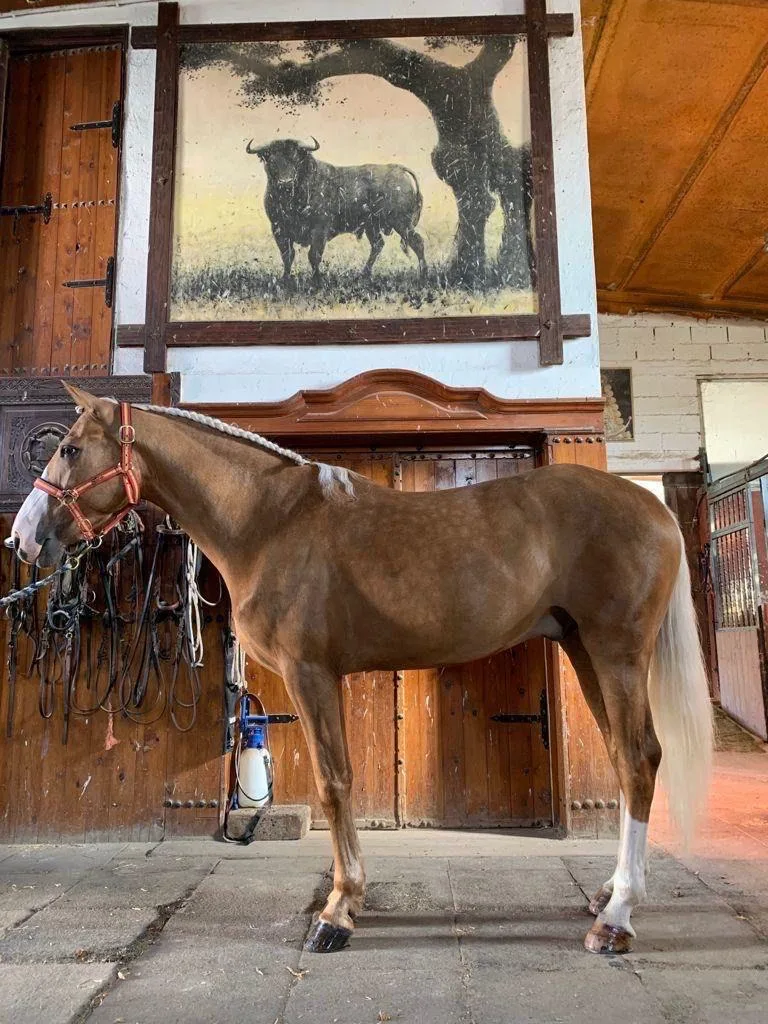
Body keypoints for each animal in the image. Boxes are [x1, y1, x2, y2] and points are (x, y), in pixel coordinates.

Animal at [10, 383, 713, 955]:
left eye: (70, 448)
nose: (22, 538)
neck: (269, 523)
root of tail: (653, 508)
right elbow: (337, 779)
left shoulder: (312, 674)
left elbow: (334, 782)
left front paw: (339, 911)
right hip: (585, 652)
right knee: (627, 759)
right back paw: (610, 894)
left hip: (617, 654)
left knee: (637, 760)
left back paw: (616, 919)